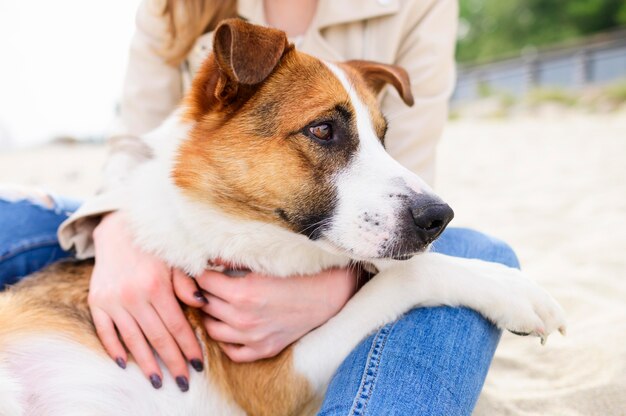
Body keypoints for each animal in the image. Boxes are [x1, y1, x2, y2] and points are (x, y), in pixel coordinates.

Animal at [0, 19, 564, 416]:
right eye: (322, 131)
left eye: (384, 137)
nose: (440, 218)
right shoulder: (273, 384)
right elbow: (407, 275)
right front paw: (515, 291)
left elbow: (386, 269)